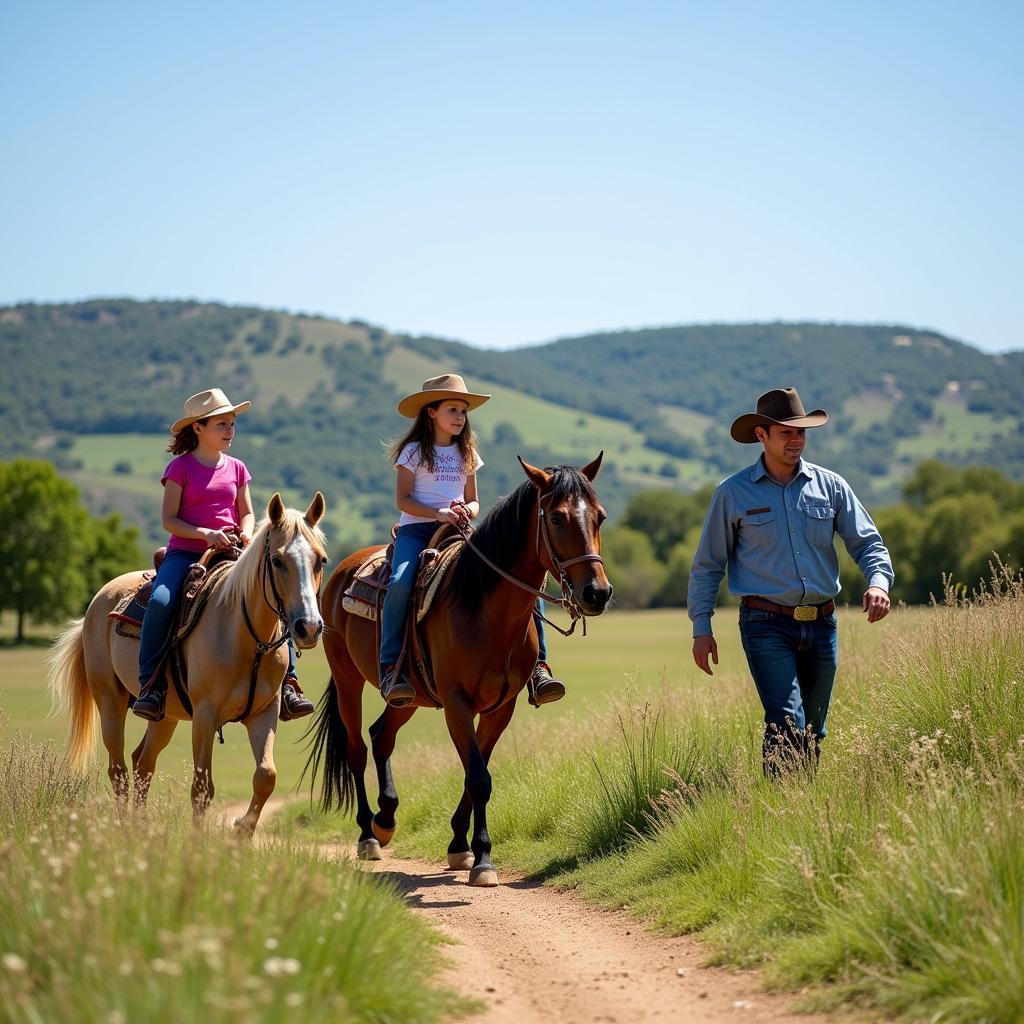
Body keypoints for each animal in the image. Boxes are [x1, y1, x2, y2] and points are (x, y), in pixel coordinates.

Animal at [48, 489, 325, 831]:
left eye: (321, 560)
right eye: (277, 560)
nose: (308, 627)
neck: (244, 638)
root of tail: (96, 603)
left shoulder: (264, 712)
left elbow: (266, 776)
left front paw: (242, 829)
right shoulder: (205, 716)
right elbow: (202, 788)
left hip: (164, 715)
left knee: (142, 763)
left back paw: (141, 827)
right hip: (110, 701)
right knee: (119, 770)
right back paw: (125, 829)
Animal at [301, 456, 606, 880]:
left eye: (600, 517)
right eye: (558, 518)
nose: (598, 592)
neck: (486, 612)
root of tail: (343, 570)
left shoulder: (500, 708)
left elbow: (477, 771)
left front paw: (461, 846)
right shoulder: (457, 704)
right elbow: (478, 778)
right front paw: (482, 859)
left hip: (408, 695)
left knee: (381, 735)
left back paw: (387, 818)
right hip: (348, 678)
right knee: (356, 748)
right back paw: (368, 835)